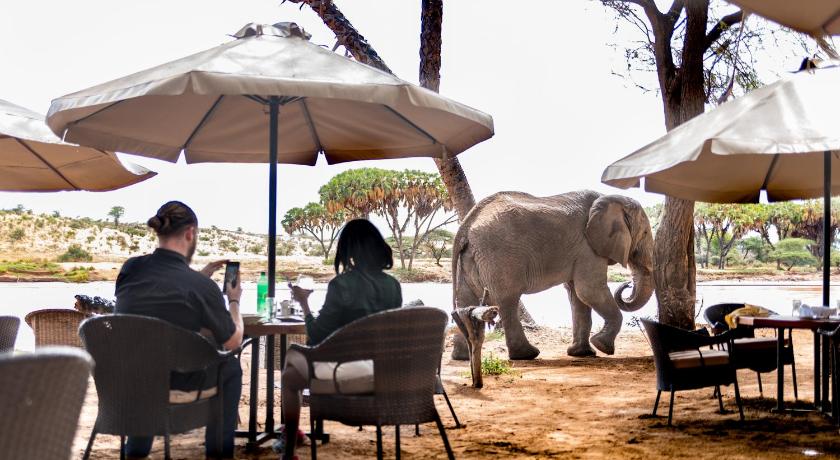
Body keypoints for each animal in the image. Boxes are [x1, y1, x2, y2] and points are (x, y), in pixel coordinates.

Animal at [451, 190, 654, 361]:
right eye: (645, 232)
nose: (627, 285)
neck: (608, 198)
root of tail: (466, 225)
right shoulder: (588, 247)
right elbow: (589, 291)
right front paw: (603, 347)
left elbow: (577, 295)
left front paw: (582, 354)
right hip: (499, 257)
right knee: (508, 300)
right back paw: (527, 355)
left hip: (469, 260)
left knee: (465, 301)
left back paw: (462, 357)